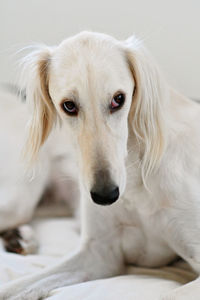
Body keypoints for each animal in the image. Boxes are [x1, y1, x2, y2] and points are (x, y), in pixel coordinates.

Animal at [0, 31, 200, 298]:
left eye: (118, 99)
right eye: (69, 105)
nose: (106, 196)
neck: (135, 181)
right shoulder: (99, 254)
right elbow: (13, 288)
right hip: (18, 199)